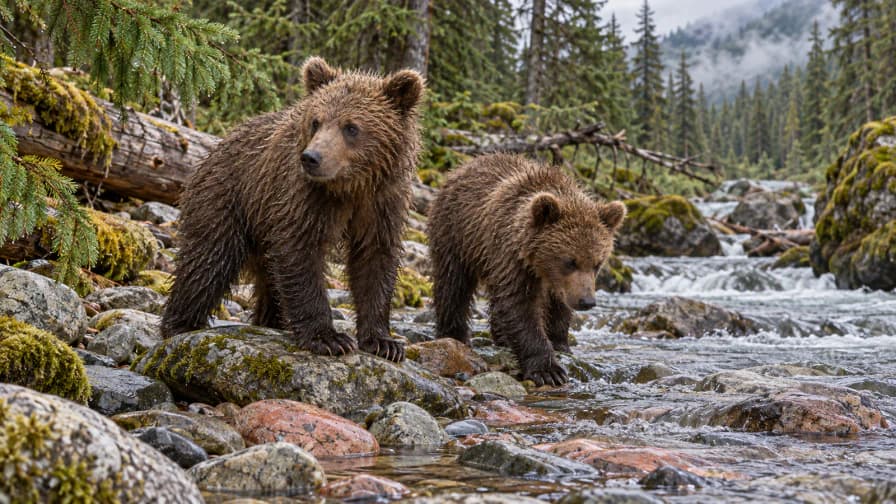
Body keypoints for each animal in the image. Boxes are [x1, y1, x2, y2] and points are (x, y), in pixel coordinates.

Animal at [160, 57, 425, 363]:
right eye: (316, 121)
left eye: (351, 127)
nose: (311, 157)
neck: (350, 187)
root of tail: (214, 147)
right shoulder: (302, 197)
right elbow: (300, 253)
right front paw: (328, 338)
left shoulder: (382, 204)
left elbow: (375, 259)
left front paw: (384, 342)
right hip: (227, 199)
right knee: (208, 260)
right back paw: (181, 324)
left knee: (266, 278)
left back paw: (271, 320)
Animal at [428, 153, 626, 385]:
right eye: (570, 261)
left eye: (597, 263)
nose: (587, 301)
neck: (541, 267)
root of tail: (463, 167)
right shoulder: (513, 258)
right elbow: (520, 306)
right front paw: (549, 370)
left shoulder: (549, 279)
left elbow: (557, 305)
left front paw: (561, 343)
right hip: (456, 234)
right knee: (453, 284)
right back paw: (455, 334)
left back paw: (501, 337)